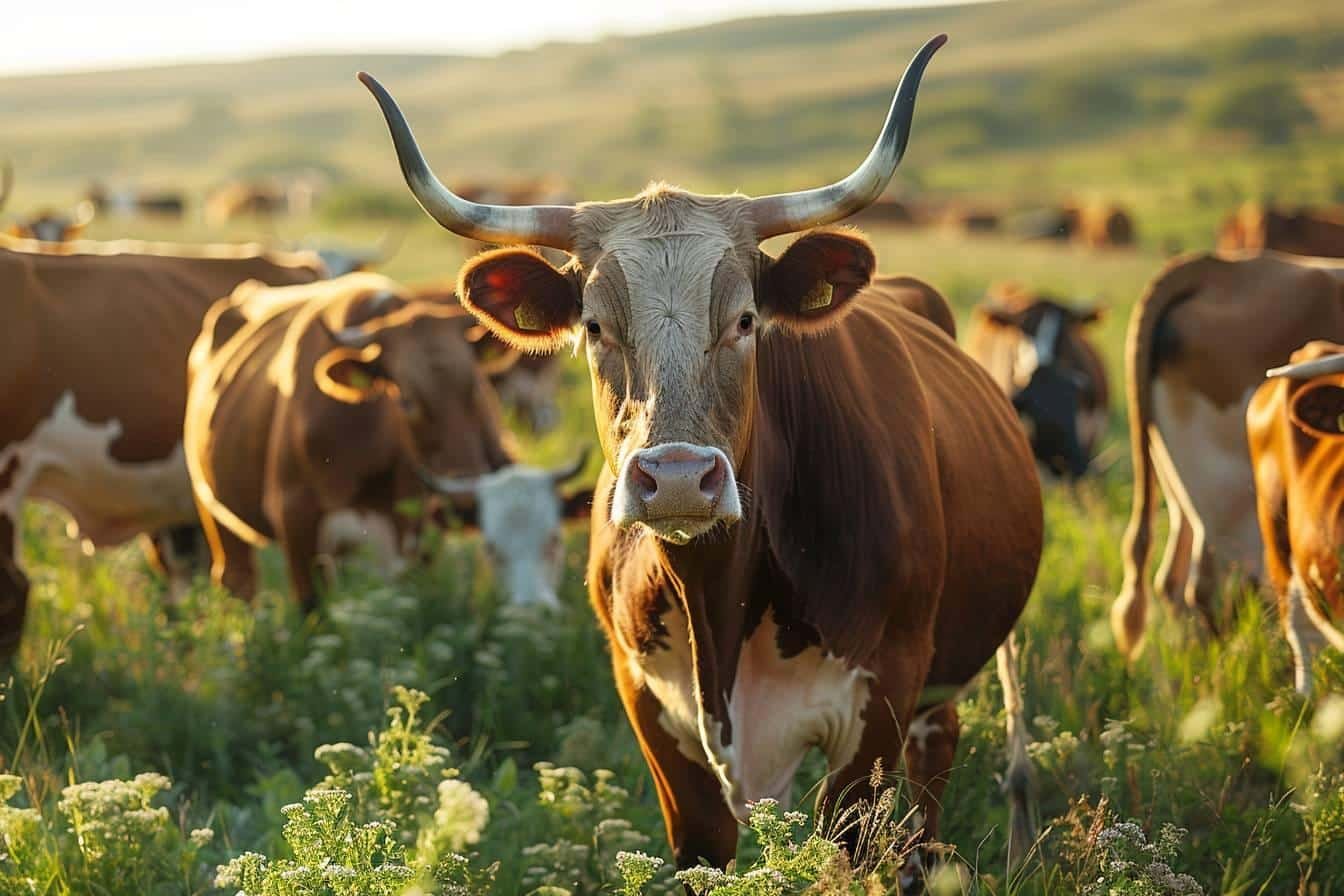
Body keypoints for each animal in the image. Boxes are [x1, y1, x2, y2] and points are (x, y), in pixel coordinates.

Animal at [186, 274, 591, 609]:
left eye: (475, 387)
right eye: (406, 399)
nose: (463, 489)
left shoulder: (419, 536)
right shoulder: (295, 520)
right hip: (214, 512)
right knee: (237, 580)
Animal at [362, 36, 1042, 881]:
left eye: (746, 319)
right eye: (594, 326)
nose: (679, 479)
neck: (719, 595)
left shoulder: (880, 705)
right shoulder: (654, 719)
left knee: (933, 771)